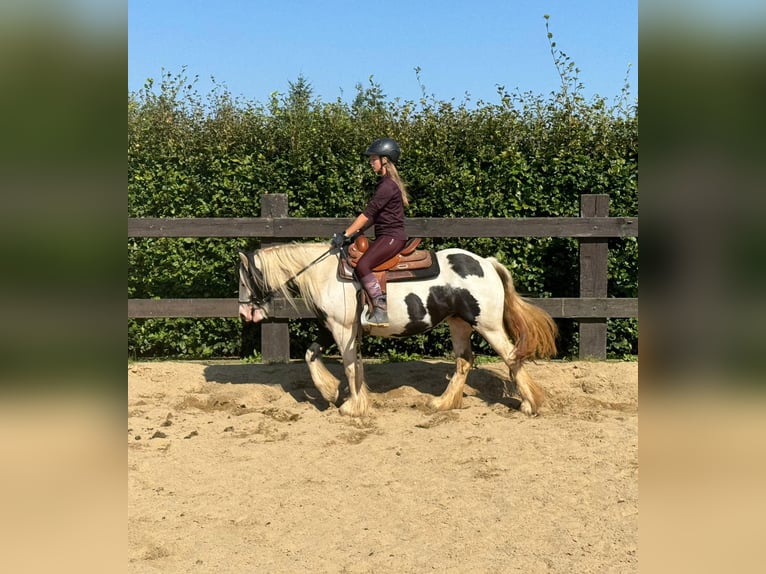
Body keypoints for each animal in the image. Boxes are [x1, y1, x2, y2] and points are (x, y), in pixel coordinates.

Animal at [240, 241, 560, 416]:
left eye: (244, 279)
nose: (245, 313)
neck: (326, 274)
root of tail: (487, 263)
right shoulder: (335, 328)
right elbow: (313, 355)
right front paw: (331, 392)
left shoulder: (343, 330)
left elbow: (349, 367)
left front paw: (352, 407)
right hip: (458, 324)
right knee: (464, 361)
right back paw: (442, 403)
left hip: (488, 325)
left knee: (511, 356)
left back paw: (530, 404)